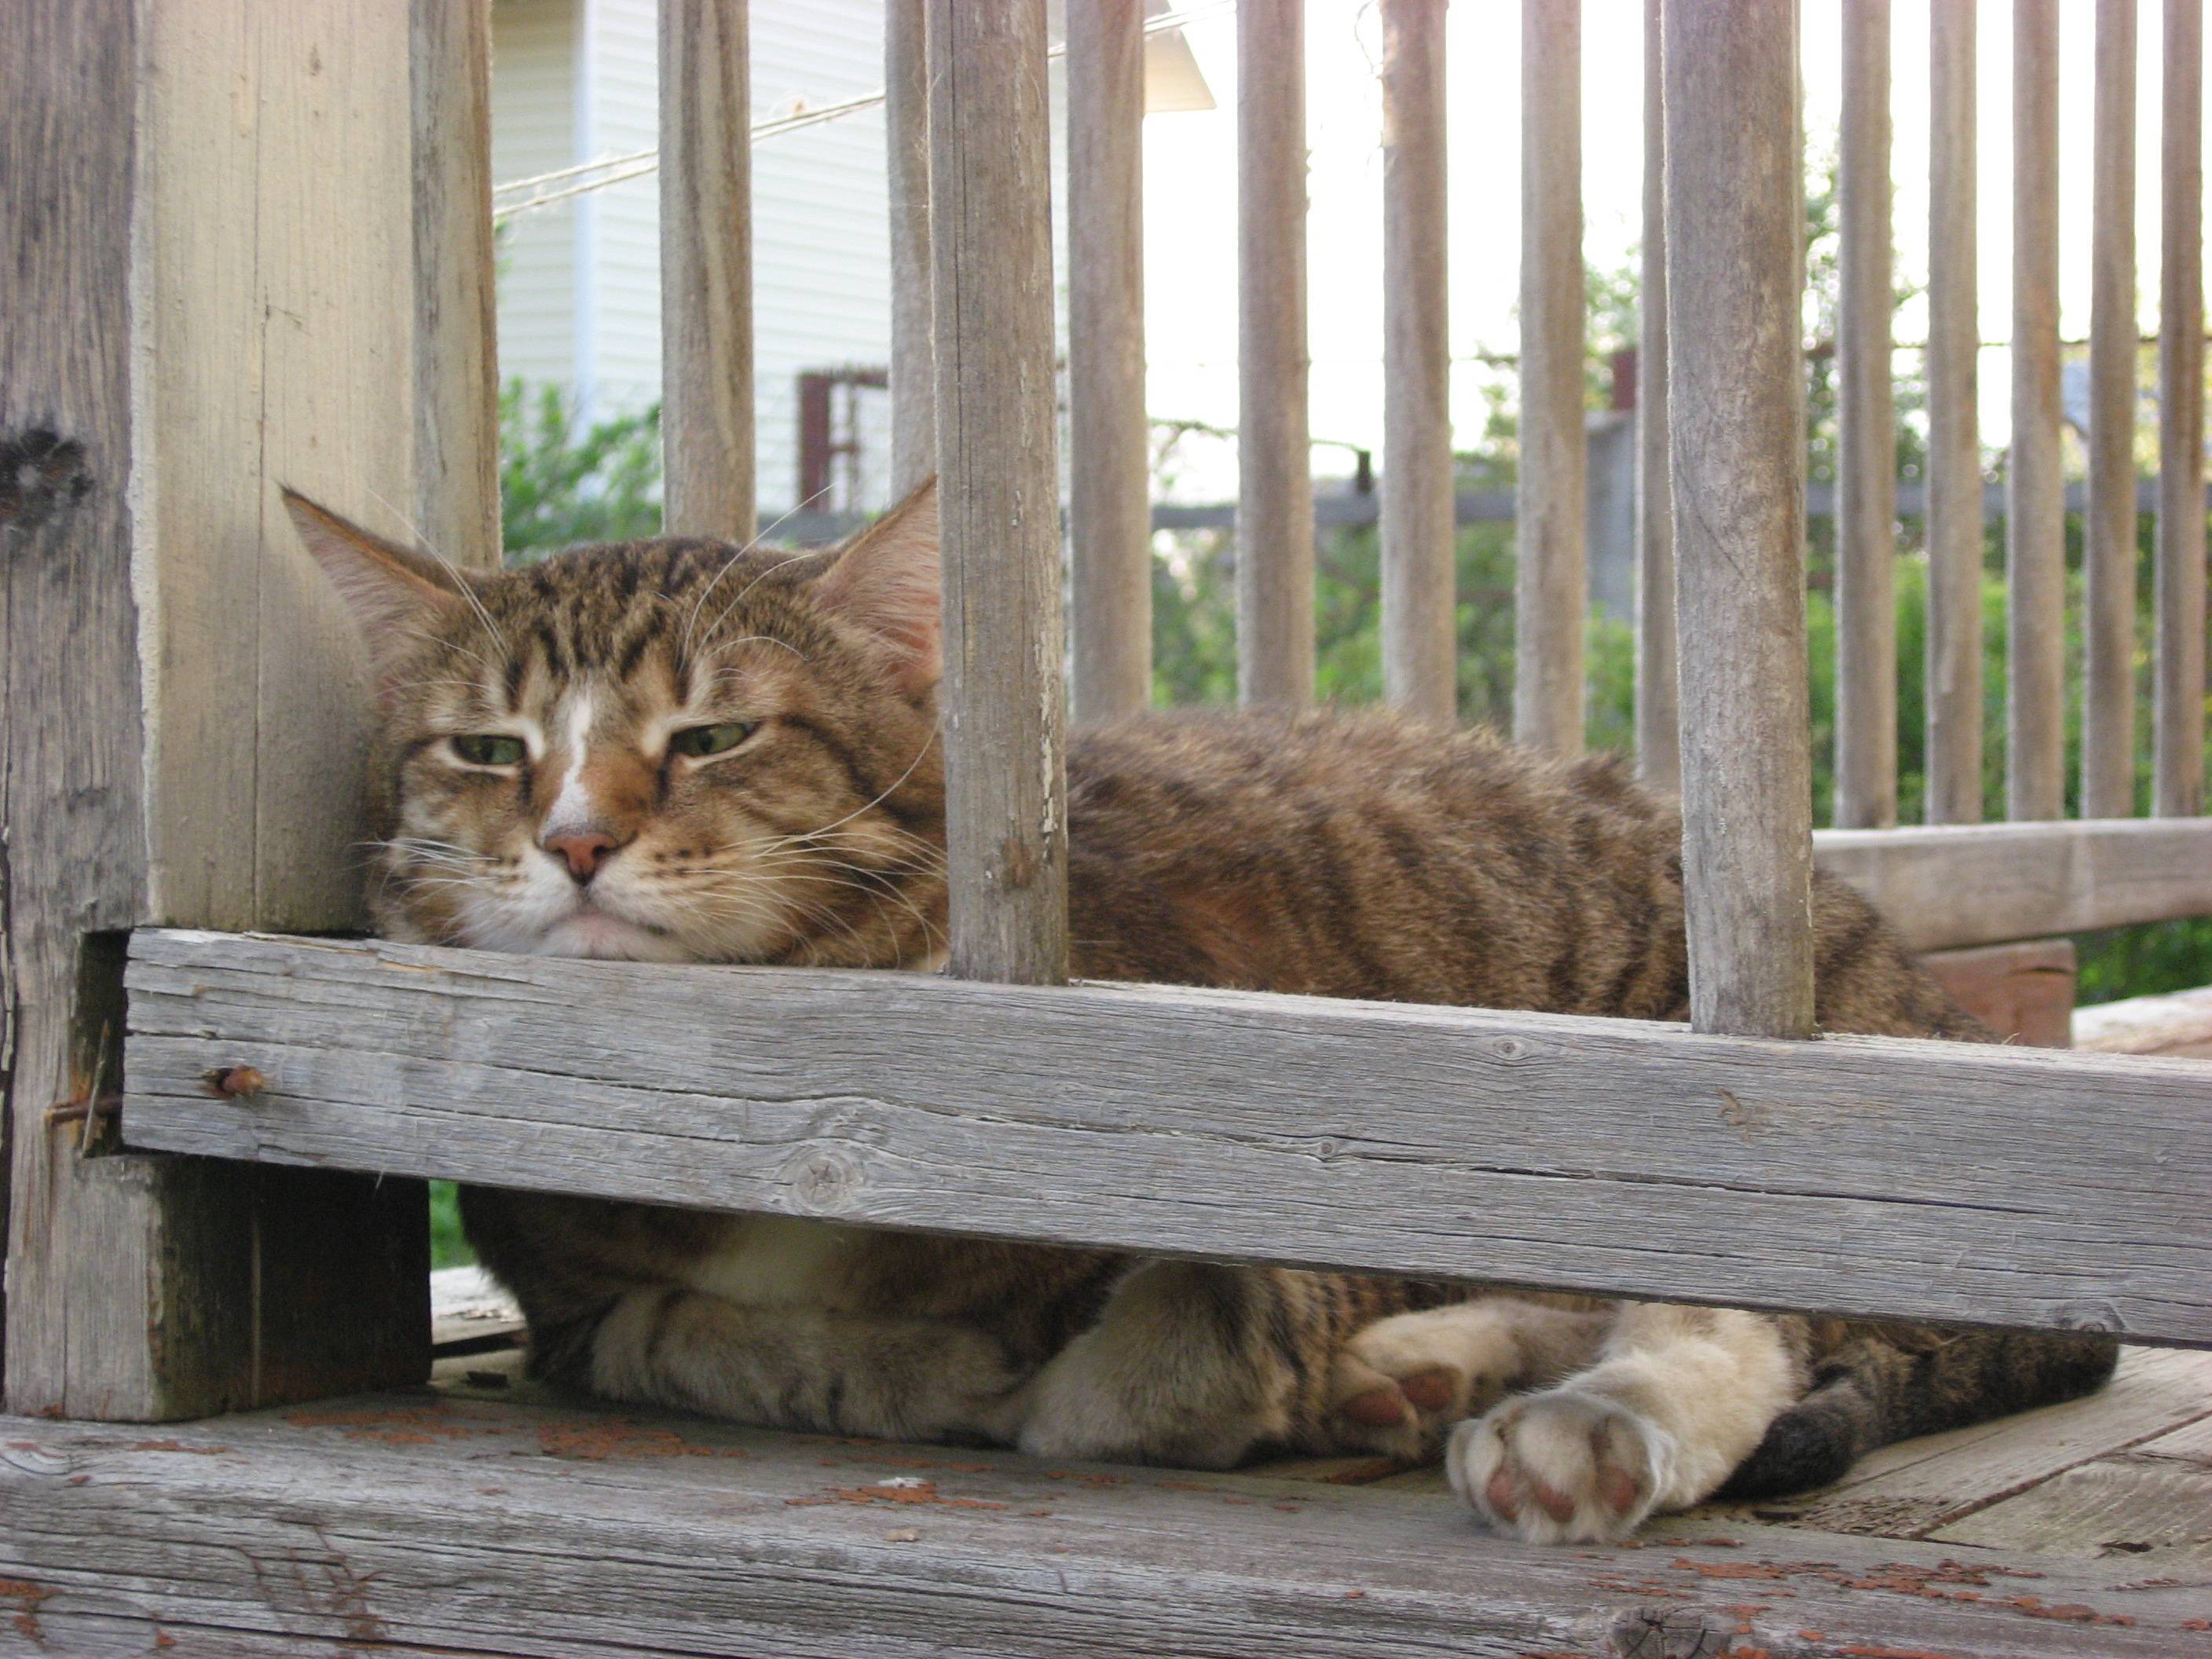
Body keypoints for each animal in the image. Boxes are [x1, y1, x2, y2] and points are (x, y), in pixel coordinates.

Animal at [285, 480, 2115, 1548]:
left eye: (715, 737)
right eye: (489, 751)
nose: (575, 839)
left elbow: (1161, 1351)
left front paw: (1044, 1369)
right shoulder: (566, 1294)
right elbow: (678, 1333)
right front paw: (906, 1364)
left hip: (1706, 1111)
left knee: (1728, 1308)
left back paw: (1575, 1429)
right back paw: (1424, 1376)